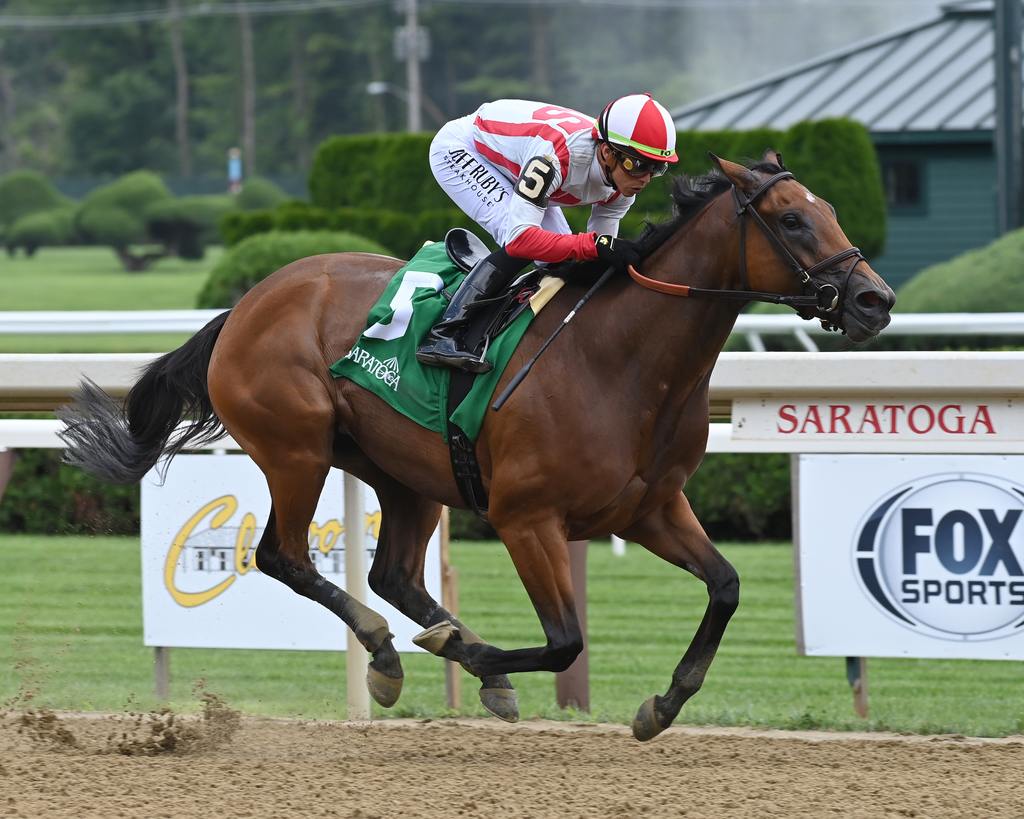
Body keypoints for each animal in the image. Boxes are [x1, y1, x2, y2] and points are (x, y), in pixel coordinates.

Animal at [61, 153, 897, 741]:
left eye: (827, 209)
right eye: (792, 220)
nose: (874, 299)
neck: (622, 360)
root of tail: (245, 305)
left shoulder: (650, 509)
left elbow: (724, 586)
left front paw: (660, 703)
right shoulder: (527, 518)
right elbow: (564, 641)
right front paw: (477, 657)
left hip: (403, 472)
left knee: (391, 573)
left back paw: (425, 648)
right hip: (296, 449)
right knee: (284, 555)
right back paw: (391, 650)